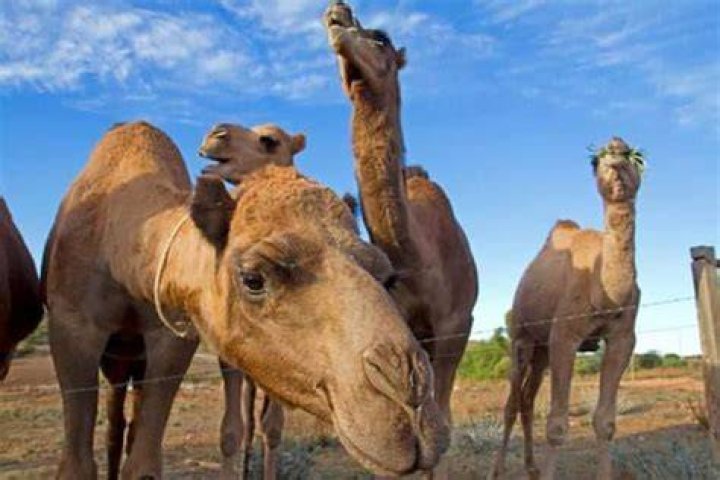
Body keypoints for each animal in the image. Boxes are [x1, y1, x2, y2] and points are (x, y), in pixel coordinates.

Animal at [43, 121, 448, 479]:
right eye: (253, 279)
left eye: (387, 276)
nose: (412, 407)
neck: (120, 242)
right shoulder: (69, 326)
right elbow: (77, 467)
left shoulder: (172, 337)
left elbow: (143, 465)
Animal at [491, 137, 644, 480]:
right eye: (595, 161)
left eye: (635, 156)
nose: (616, 150)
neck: (604, 292)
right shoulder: (565, 336)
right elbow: (557, 425)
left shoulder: (623, 337)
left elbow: (605, 422)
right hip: (520, 337)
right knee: (512, 403)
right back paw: (498, 470)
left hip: (541, 349)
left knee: (527, 399)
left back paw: (531, 466)